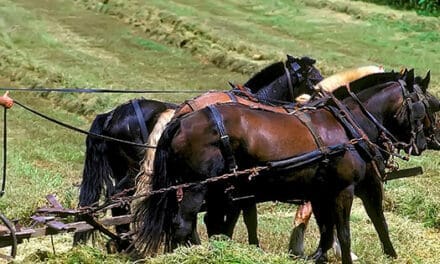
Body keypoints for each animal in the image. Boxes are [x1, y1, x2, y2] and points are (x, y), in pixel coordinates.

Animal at [75, 54, 324, 249]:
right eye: (314, 77)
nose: (322, 99)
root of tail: (110, 115)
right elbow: (242, 217)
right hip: (134, 171)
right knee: (121, 199)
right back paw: (128, 241)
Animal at [134, 69, 440, 262]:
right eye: (428, 103)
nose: (430, 140)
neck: (353, 127)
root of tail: (181, 118)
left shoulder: (321, 192)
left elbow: (326, 229)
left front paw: (316, 255)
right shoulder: (350, 188)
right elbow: (358, 227)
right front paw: (385, 255)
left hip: (208, 188)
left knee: (203, 223)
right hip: (198, 187)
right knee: (185, 224)